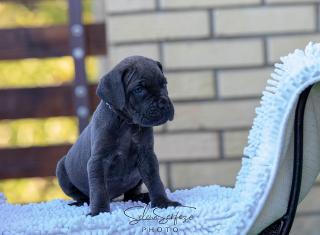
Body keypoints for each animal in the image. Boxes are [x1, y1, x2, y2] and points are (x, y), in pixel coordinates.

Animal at [56, 55, 181, 217]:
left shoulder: (147, 156)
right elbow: (98, 189)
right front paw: (99, 212)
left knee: (130, 194)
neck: (127, 124)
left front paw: (162, 202)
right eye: (139, 89)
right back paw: (81, 203)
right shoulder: (98, 161)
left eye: (164, 84)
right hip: (61, 169)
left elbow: (154, 180)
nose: (163, 104)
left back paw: (142, 196)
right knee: (83, 195)